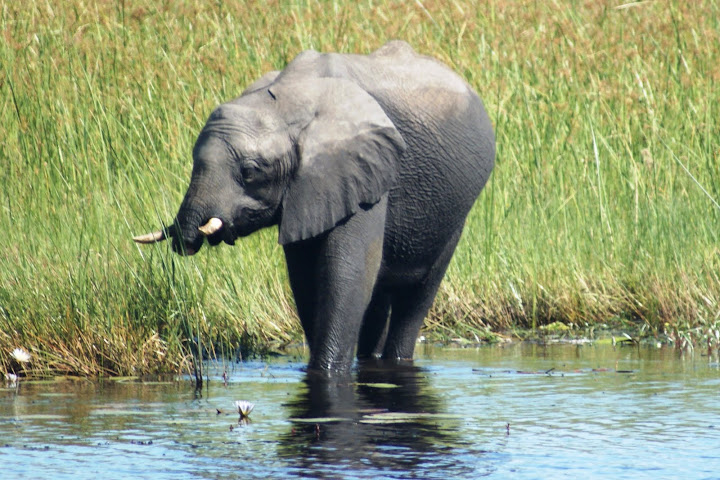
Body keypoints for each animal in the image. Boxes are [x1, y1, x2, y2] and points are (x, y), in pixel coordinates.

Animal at [134, 41, 495, 373]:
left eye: (250, 172)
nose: (187, 238)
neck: (288, 102)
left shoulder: (358, 172)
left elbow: (344, 273)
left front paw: (327, 373)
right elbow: (305, 278)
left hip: (456, 213)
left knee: (416, 296)